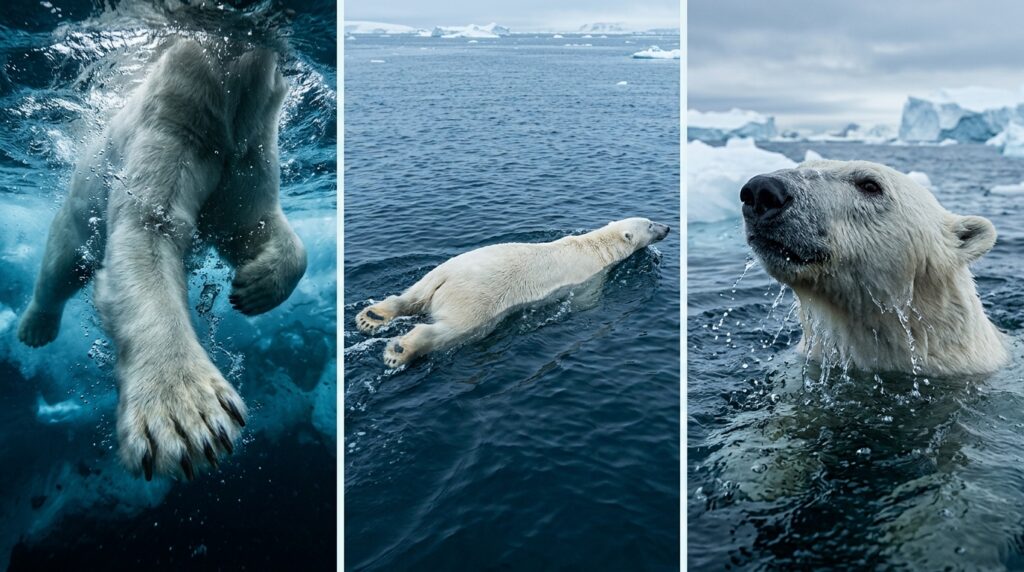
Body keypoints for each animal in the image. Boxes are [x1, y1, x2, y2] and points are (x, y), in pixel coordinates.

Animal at [16, 37, 307, 481]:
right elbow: (148, 230)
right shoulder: (175, 116)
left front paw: (254, 285)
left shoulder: (249, 144)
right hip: (81, 206)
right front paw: (187, 417)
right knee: (61, 266)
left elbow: (250, 221)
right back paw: (36, 327)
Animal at [355, 217, 670, 368]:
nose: (668, 227)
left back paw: (372, 316)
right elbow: (586, 302)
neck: (597, 246)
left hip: (439, 271)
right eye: (650, 223)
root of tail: (446, 279)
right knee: (454, 329)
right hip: (476, 300)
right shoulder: (590, 278)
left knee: (411, 295)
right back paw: (399, 350)